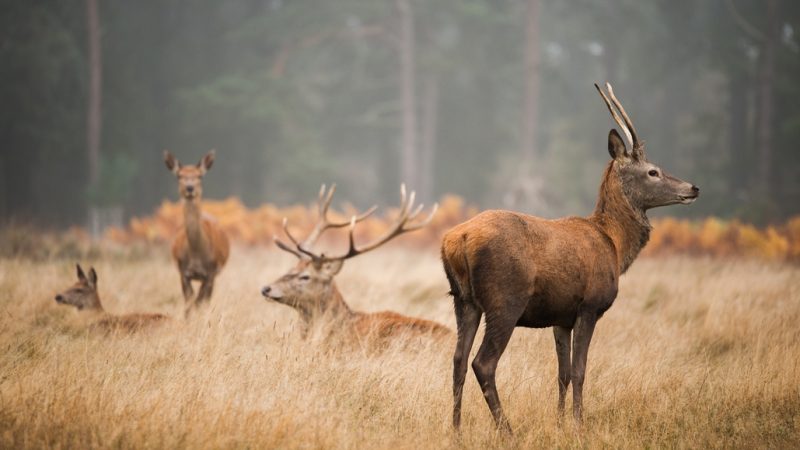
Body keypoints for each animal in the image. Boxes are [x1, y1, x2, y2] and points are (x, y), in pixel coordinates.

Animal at [163, 151, 230, 316]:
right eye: (179, 175)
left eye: (200, 176)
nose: (190, 188)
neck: (196, 255)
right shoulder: (183, 271)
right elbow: (189, 302)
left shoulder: (211, 271)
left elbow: (200, 301)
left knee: (205, 300)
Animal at [444, 82, 700, 430]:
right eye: (653, 171)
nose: (693, 188)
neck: (615, 244)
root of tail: (458, 240)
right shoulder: (589, 305)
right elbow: (579, 371)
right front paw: (580, 424)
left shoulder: (560, 317)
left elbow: (562, 374)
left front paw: (560, 422)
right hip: (505, 299)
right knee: (482, 362)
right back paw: (506, 430)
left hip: (464, 300)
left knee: (457, 359)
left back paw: (456, 429)